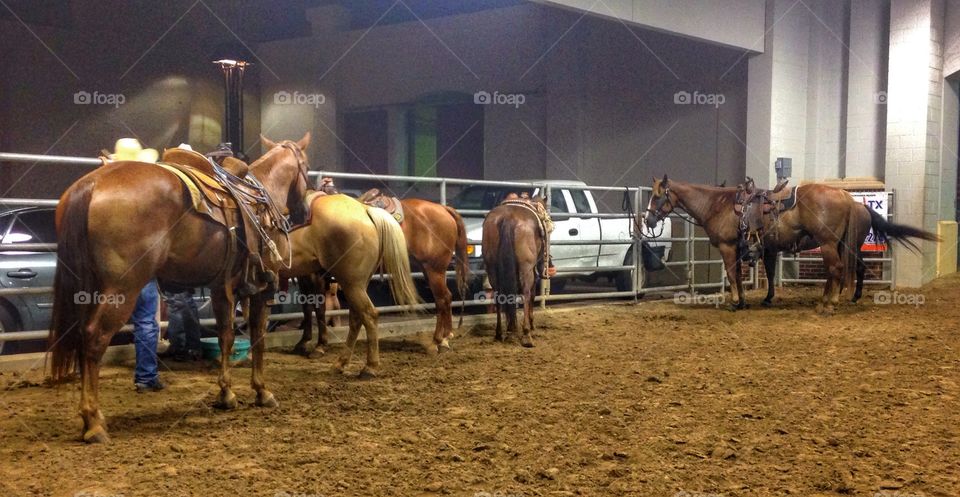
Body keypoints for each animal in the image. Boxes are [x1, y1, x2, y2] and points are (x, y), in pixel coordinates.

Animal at [48, 133, 312, 442]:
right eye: (306, 167)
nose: (304, 212)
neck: (262, 196)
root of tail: (91, 185)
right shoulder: (262, 288)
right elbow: (257, 337)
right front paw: (262, 392)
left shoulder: (221, 287)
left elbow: (225, 336)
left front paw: (226, 394)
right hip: (121, 289)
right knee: (94, 339)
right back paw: (93, 423)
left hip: (89, 290)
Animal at [282, 194, 424, 376]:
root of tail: (365, 210)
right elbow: (307, 307)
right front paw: (303, 343)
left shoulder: (314, 276)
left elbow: (317, 308)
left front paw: (317, 346)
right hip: (358, 284)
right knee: (357, 318)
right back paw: (341, 363)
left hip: (352, 284)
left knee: (369, 315)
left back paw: (369, 367)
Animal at [296, 196, 468, 354]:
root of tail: (443, 208)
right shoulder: (303, 277)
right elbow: (306, 306)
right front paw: (303, 341)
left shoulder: (315, 275)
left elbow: (319, 308)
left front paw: (319, 345)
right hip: (431, 270)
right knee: (447, 298)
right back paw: (445, 338)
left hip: (434, 269)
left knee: (442, 299)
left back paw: (437, 341)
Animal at [480, 197, 548, 344]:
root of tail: (508, 217)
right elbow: (532, 295)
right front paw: (531, 325)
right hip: (526, 269)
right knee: (526, 293)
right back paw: (527, 333)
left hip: (492, 269)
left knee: (498, 295)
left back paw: (499, 333)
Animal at [644, 176, 936, 312]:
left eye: (657, 196)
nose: (647, 219)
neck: (719, 205)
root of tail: (845, 196)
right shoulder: (761, 250)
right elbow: (759, 274)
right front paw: (757, 300)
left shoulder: (728, 248)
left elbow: (733, 274)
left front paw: (736, 302)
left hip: (829, 244)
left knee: (837, 270)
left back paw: (829, 303)